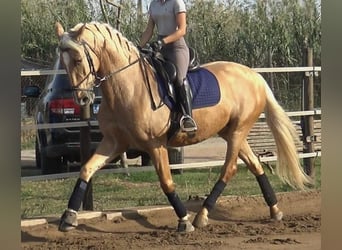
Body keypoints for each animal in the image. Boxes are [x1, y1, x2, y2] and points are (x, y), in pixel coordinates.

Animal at [54, 21, 312, 232]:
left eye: (78, 59)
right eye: (63, 63)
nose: (82, 99)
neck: (128, 87)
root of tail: (255, 76)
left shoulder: (155, 145)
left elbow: (166, 182)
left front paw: (183, 221)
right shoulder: (114, 143)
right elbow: (86, 169)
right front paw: (68, 217)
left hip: (238, 131)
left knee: (229, 169)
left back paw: (201, 216)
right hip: (232, 132)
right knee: (255, 164)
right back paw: (274, 210)